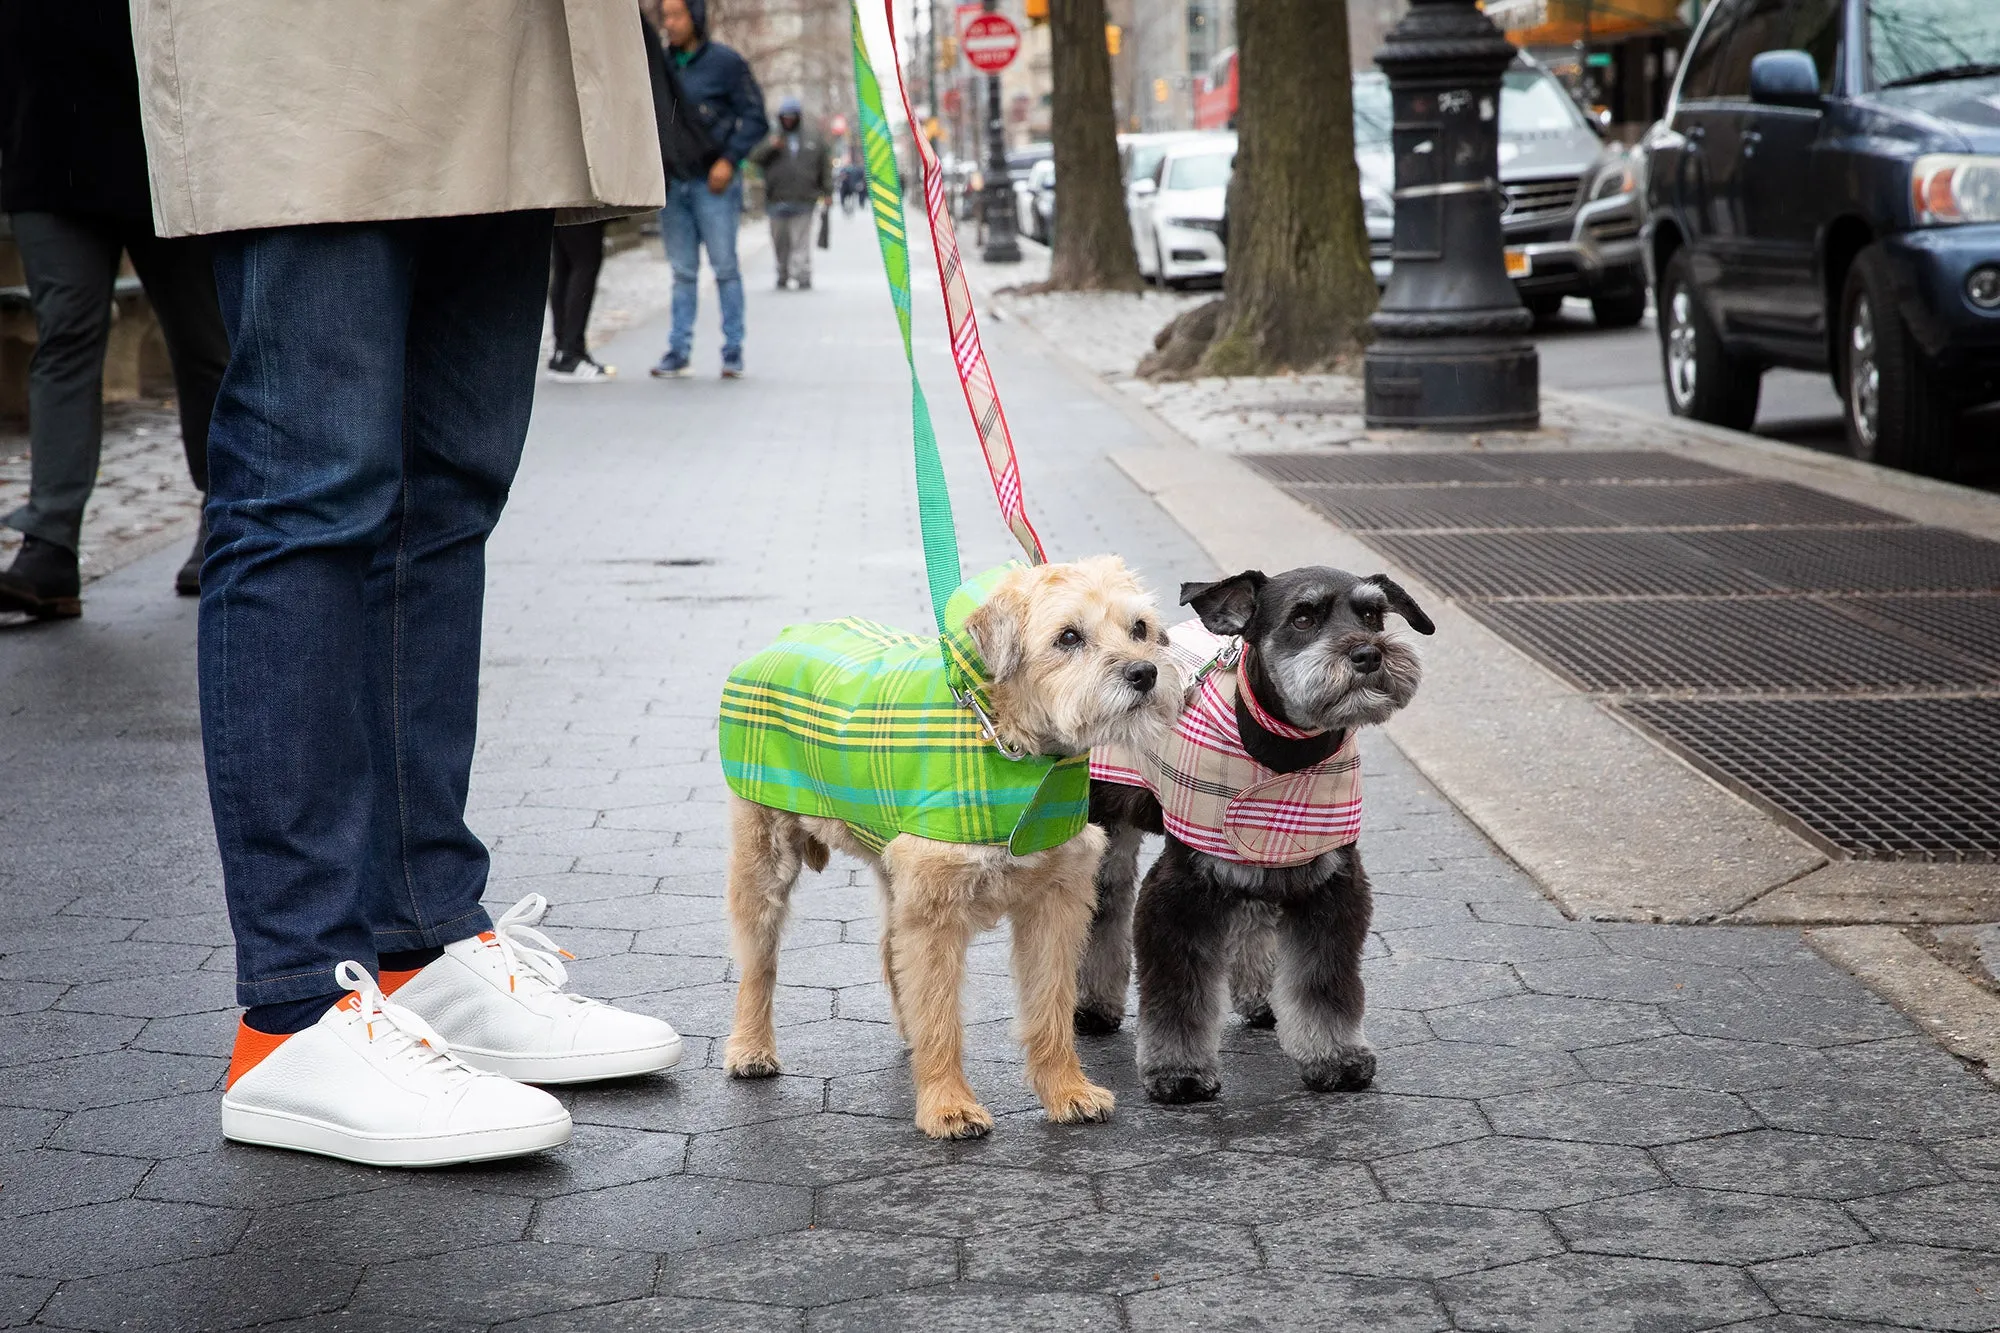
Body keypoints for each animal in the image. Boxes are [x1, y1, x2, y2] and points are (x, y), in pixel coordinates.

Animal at [720, 556, 1176, 1136]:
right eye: (1069, 637)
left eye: (1139, 628)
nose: (1144, 673)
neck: (1006, 743)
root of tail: (783, 638)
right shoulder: (935, 915)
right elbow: (941, 1016)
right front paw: (947, 1105)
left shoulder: (1056, 904)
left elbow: (1051, 1006)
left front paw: (1066, 1091)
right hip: (764, 860)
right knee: (759, 963)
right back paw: (751, 1048)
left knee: (890, 949)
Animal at [1088, 564, 1432, 1096]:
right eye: (1303, 617)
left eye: (1373, 615)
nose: (1369, 654)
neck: (1284, 753)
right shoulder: (1181, 889)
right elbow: (1178, 990)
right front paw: (1179, 1072)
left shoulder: (1329, 881)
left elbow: (1322, 981)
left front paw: (1335, 1056)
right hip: (1107, 824)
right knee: (1104, 907)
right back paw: (1091, 1007)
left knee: (1254, 915)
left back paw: (1262, 997)